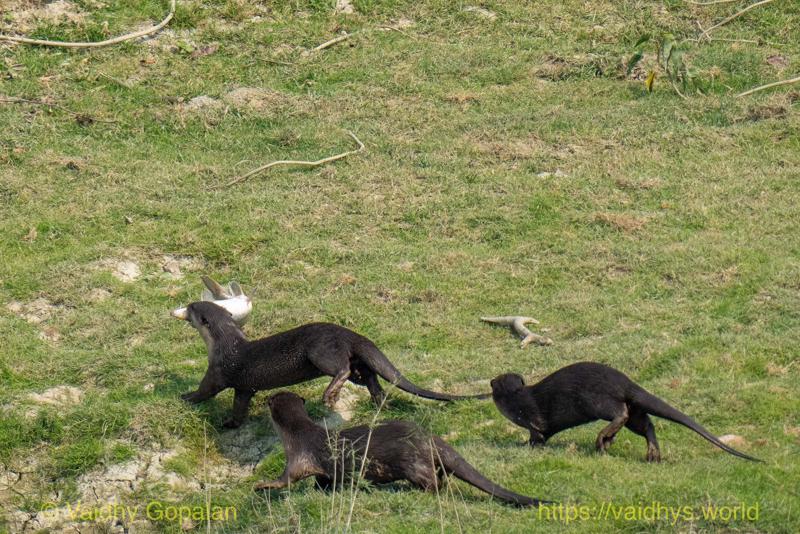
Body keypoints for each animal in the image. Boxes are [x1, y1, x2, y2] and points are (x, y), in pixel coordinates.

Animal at [175, 301, 485, 428]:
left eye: (194, 308)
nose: (187, 304)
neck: (224, 343)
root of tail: (351, 333)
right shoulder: (244, 388)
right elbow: (240, 406)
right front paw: (230, 423)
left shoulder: (218, 370)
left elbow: (206, 390)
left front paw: (186, 397)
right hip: (353, 359)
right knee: (367, 374)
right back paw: (378, 400)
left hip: (320, 352)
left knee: (342, 369)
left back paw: (330, 395)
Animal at [254, 391, 549, 507]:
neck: (298, 433)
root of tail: (430, 438)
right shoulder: (324, 468)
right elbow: (323, 481)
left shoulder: (298, 457)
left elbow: (286, 480)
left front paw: (261, 486)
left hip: (412, 463)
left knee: (432, 482)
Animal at [490, 362, 761, 462]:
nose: (491, 382)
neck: (517, 399)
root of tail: (625, 382)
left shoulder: (530, 418)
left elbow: (536, 435)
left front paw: (524, 446)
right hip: (633, 410)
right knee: (646, 423)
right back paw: (652, 454)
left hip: (595, 400)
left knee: (620, 414)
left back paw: (603, 439)